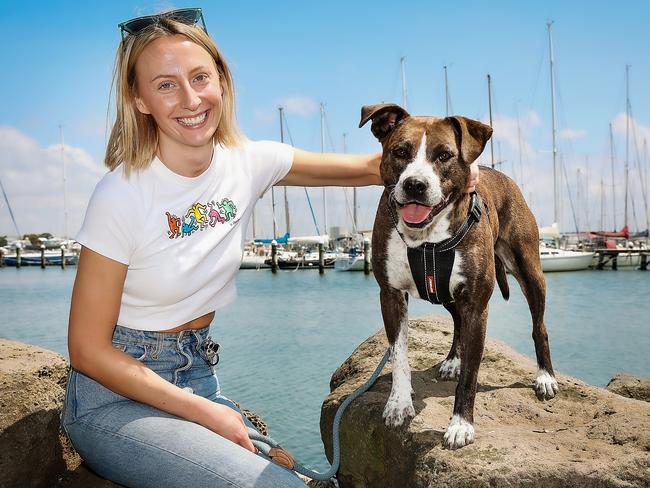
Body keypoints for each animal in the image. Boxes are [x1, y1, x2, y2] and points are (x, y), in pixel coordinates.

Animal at [360, 102, 556, 450]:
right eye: (400, 151)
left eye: (444, 155)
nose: (415, 184)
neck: (426, 240)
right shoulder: (391, 295)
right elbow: (399, 356)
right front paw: (399, 403)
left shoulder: (477, 305)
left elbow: (470, 376)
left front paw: (461, 424)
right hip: (446, 294)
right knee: (456, 325)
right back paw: (453, 360)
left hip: (529, 270)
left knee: (539, 326)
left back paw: (545, 376)